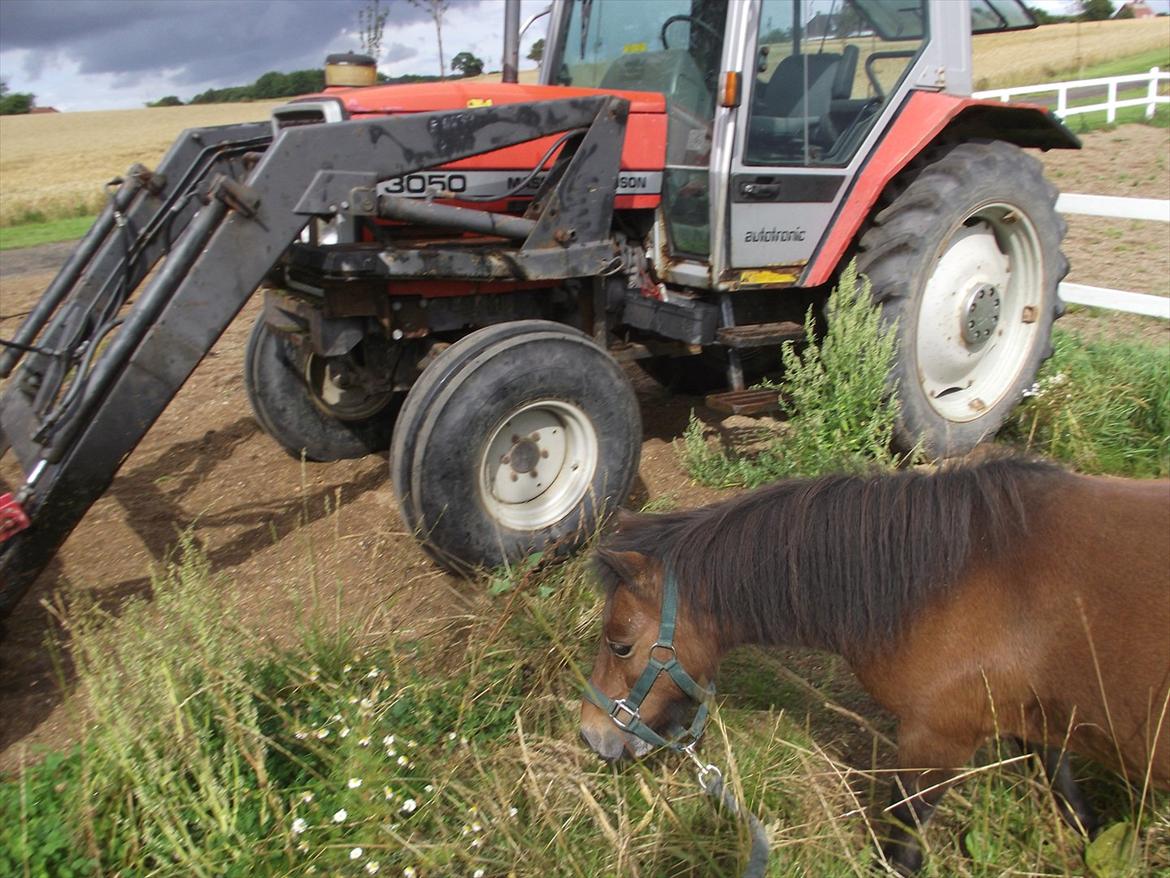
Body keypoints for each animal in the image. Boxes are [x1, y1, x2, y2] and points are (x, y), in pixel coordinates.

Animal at [577, 456, 1170, 875]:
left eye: (620, 645)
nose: (590, 734)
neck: (956, 574)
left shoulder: (935, 742)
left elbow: (903, 845)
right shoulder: (1041, 721)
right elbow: (1071, 800)